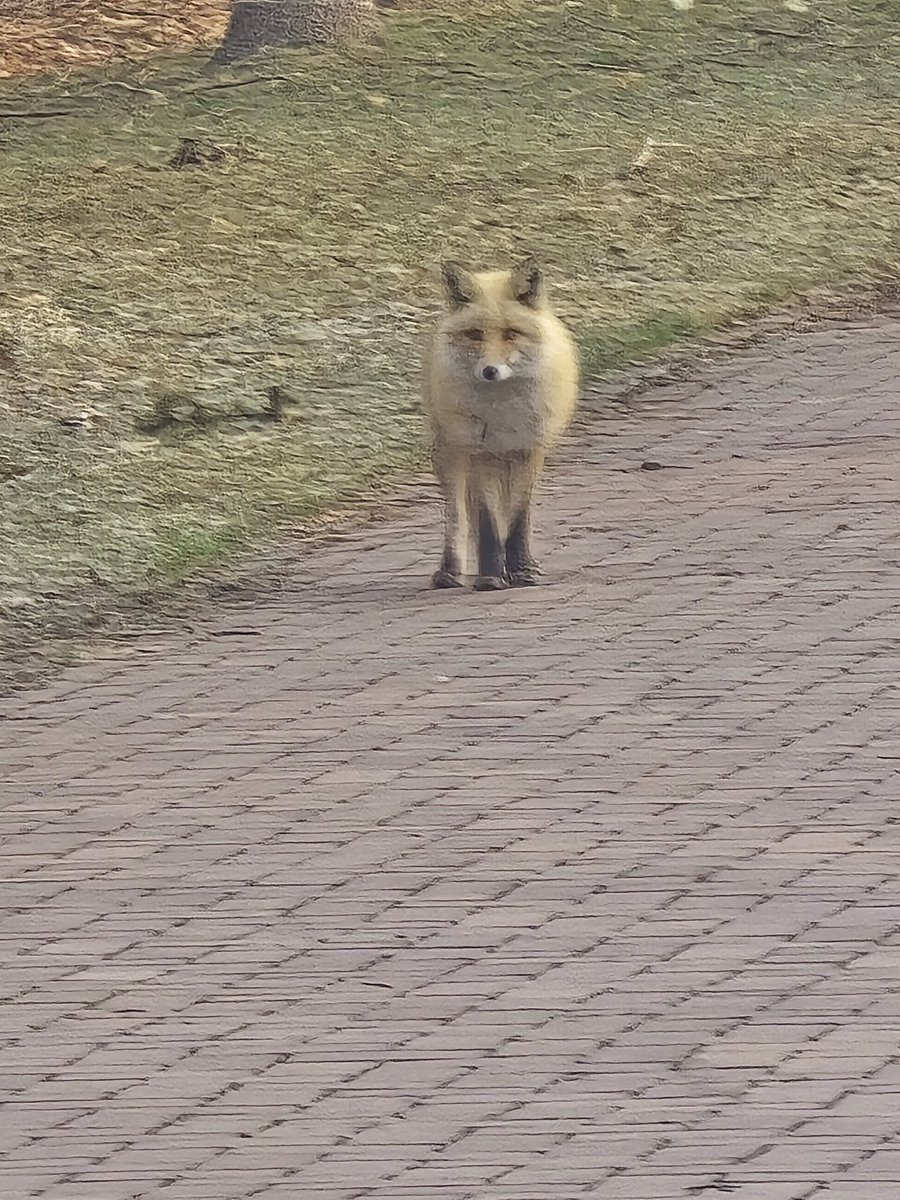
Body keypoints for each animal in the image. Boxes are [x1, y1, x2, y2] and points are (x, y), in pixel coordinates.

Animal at [422, 259, 579, 591]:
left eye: (511, 334)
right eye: (474, 334)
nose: (489, 371)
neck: (504, 416)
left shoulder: (528, 451)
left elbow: (517, 520)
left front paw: (521, 570)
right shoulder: (482, 454)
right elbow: (487, 523)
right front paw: (491, 576)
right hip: (452, 454)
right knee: (457, 517)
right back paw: (450, 571)